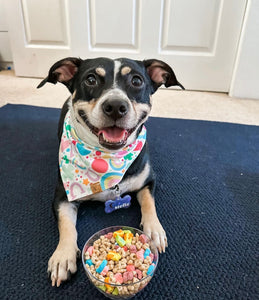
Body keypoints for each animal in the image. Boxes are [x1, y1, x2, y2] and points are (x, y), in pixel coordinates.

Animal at [38, 56, 185, 286]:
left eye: (136, 80)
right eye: (90, 79)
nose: (115, 105)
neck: (107, 159)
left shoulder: (148, 180)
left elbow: (149, 202)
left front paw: (154, 230)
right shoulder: (62, 197)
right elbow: (67, 225)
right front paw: (62, 257)